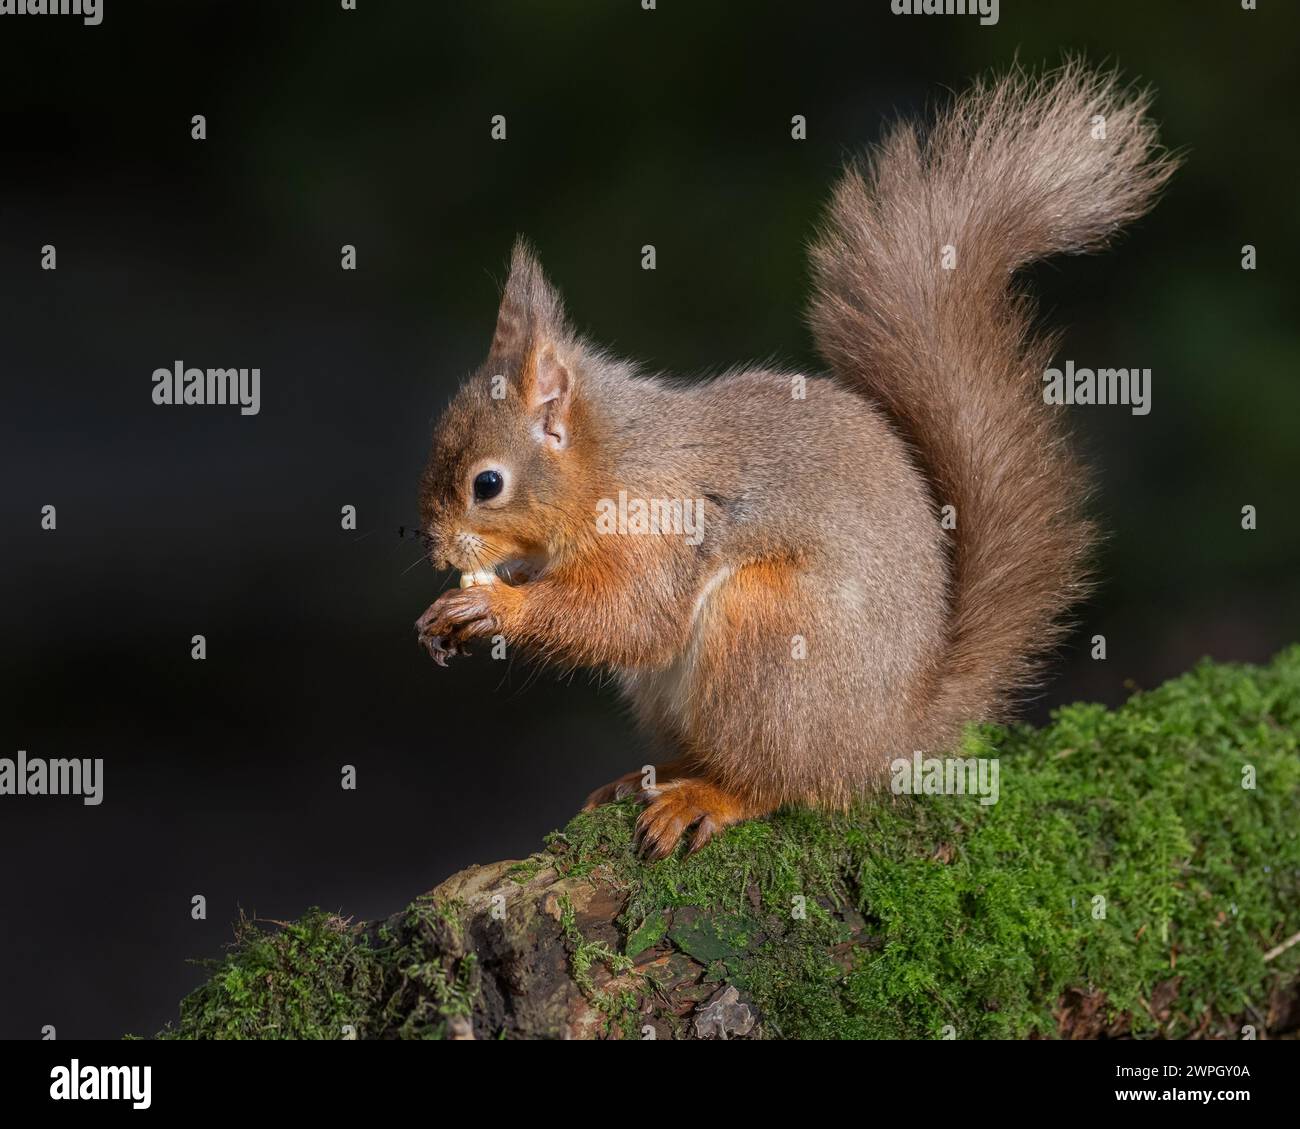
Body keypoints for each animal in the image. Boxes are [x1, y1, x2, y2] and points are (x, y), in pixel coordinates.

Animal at [416, 64, 1180, 853]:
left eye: (487, 483)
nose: (436, 547)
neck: (613, 461)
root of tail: (885, 742)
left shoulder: (657, 523)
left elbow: (629, 616)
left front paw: (493, 604)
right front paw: (445, 615)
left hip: (770, 633)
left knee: (779, 784)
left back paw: (710, 796)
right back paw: (653, 775)